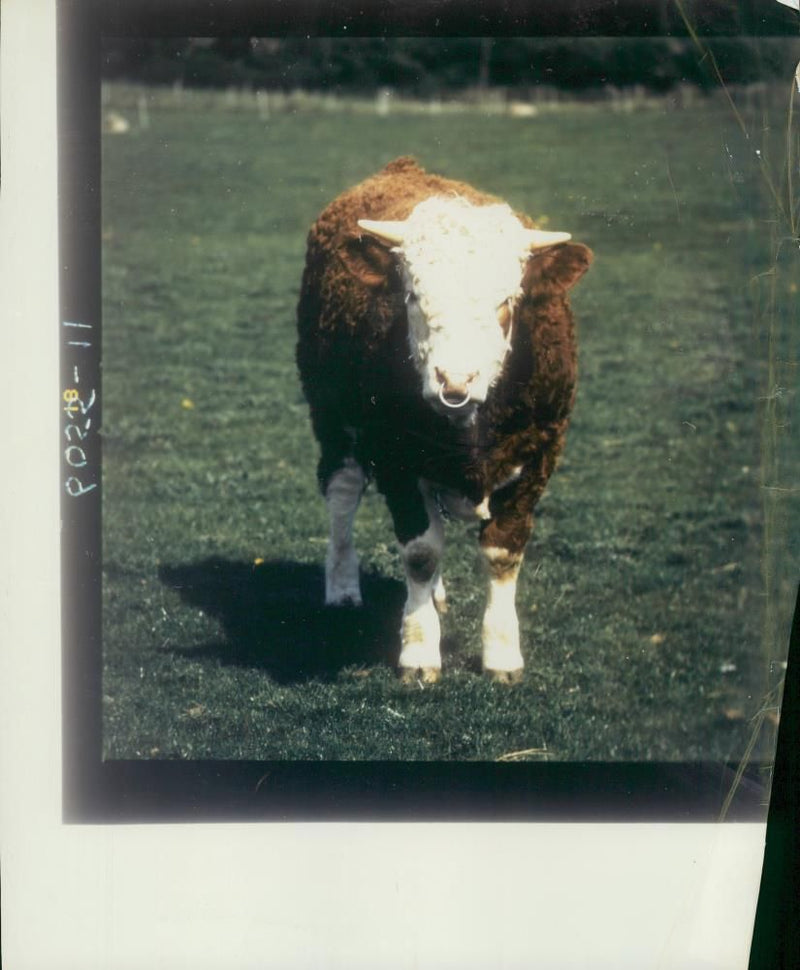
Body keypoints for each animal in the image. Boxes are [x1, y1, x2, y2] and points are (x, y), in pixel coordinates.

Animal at [296, 157, 592, 680]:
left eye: (507, 301)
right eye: (412, 295)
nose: (455, 380)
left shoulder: (539, 454)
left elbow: (502, 551)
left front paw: (502, 654)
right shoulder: (395, 456)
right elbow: (420, 551)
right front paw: (418, 651)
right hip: (330, 413)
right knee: (342, 491)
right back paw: (343, 585)